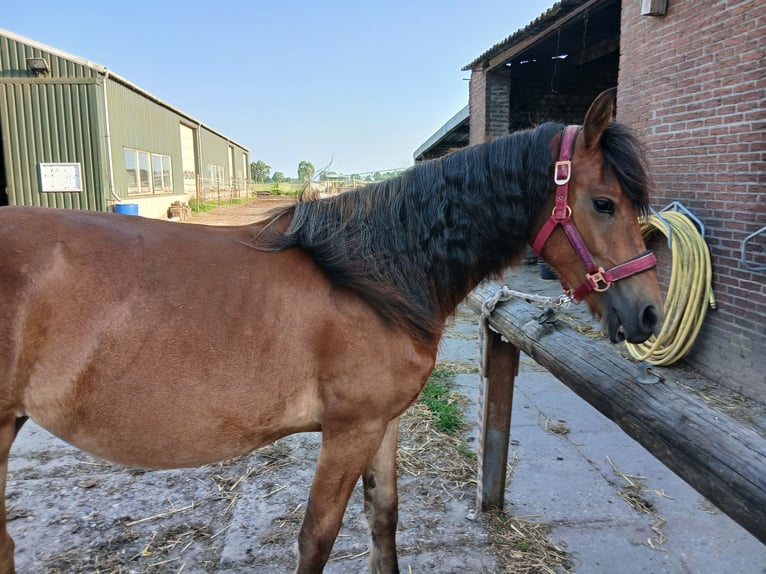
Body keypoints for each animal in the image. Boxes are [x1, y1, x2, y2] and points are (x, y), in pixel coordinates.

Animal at [0, 88, 662, 573]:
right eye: (604, 203)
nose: (650, 313)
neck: (376, 274)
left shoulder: (383, 424)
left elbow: (384, 519)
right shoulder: (349, 431)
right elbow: (317, 537)